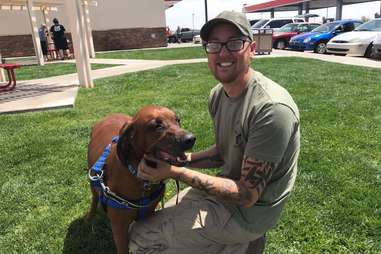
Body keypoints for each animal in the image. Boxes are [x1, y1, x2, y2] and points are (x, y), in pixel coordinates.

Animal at [85, 104, 194, 253]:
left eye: (177, 120)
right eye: (157, 126)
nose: (191, 138)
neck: (140, 179)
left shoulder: (148, 215)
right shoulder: (119, 228)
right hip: (93, 181)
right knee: (95, 198)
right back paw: (90, 217)